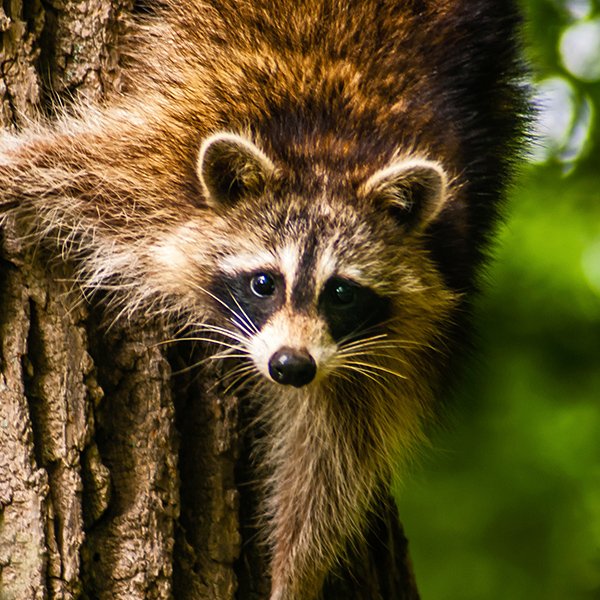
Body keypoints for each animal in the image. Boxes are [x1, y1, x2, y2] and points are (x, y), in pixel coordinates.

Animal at [0, 0, 524, 596]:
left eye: (341, 293)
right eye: (264, 283)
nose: (291, 366)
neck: (331, 163)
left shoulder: (419, 314)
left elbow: (334, 453)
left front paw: (295, 574)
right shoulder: (157, 163)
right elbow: (50, 162)